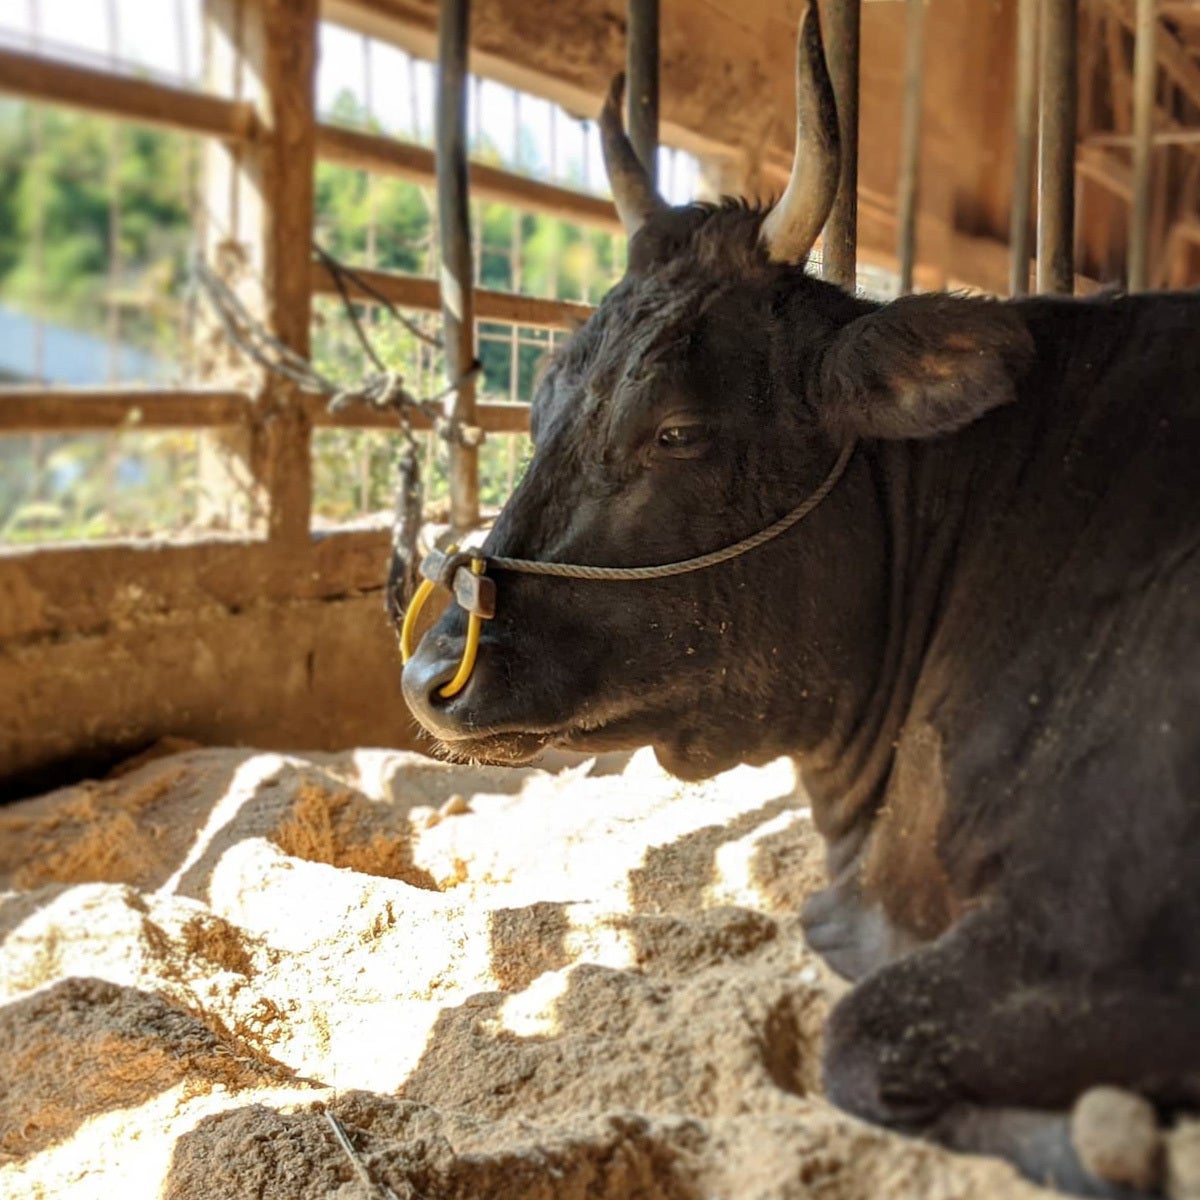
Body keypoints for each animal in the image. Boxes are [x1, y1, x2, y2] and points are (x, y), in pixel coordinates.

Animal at [401, 5, 1200, 1194]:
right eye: (539, 403)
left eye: (678, 431)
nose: (429, 671)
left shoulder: (1105, 925)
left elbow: (858, 1036)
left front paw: (1121, 1140)